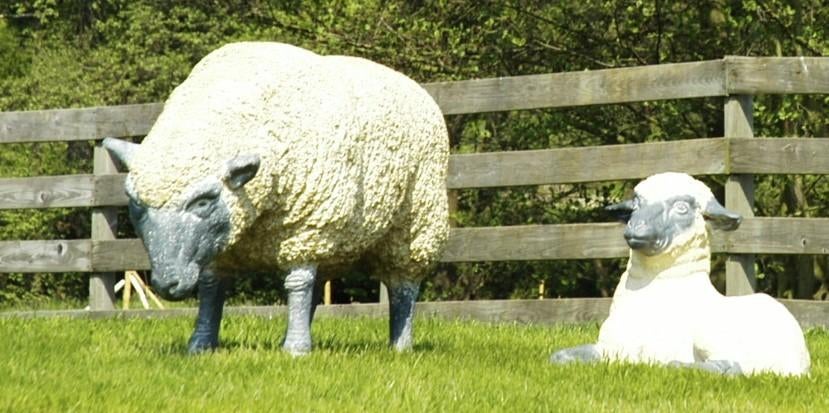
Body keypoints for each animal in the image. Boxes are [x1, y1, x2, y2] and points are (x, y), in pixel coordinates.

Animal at [103, 42, 450, 355]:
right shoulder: (220, 246)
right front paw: (200, 346)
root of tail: (410, 84)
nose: (167, 284)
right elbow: (212, 288)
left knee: (402, 287)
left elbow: (296, 284)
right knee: (314, 287)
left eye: (203, 201)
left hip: (415, 224)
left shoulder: (306, 229)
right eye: (135, 204)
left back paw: (400, 346)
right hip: (334, 241)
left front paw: (295, 350)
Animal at [551, 172, 810, 376]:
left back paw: (677, 366)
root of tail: (802, 363)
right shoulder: (611, 347)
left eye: (681, 208)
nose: (637, 228)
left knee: (731, 367)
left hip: (716, 336)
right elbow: (559, 356)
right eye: (636, 204)